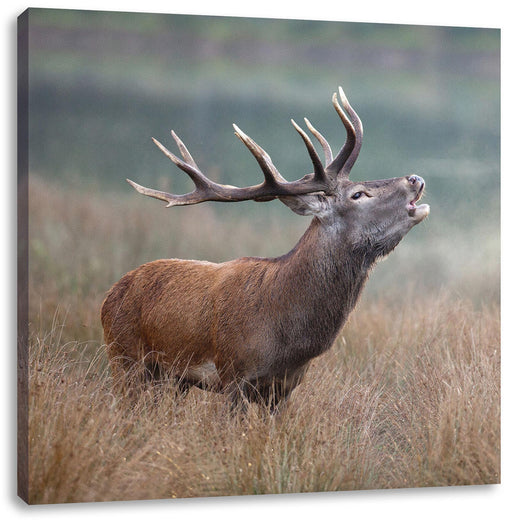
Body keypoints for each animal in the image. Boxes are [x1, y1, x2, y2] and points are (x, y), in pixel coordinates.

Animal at [100, 86, 428, 414]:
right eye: (358, 194)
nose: (415, 179)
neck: (287, 336)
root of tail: (110, 294)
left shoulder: (285, 387)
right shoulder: (234, 373)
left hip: (172, 379)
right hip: (124, 356)